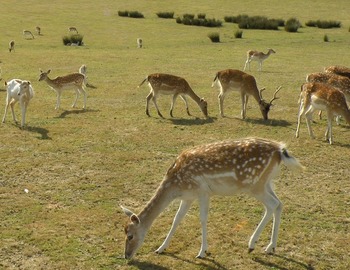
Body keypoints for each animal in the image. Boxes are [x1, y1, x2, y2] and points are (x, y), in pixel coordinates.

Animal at [121, 137, 304, 260]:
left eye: (130, 235)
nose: (126, 256)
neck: (176, 185)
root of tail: (280, 150)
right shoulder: (188, 197)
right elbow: (177, 219)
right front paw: (160, 248)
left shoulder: (202, 191)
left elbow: (202, 219)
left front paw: (202, 252)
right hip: (267, 182)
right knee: (279, 204)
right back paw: (270, 247)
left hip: (254, 185)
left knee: (272, 205)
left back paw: (252, 245)